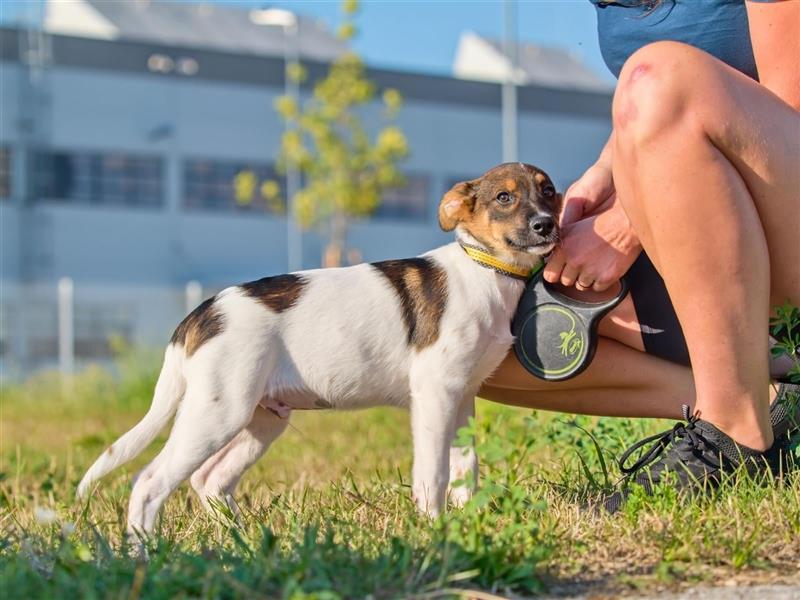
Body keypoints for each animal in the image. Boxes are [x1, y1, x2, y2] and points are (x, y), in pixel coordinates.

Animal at [78, 161, 560, 536]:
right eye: (504, 197)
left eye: (548, 191)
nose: (546, 225)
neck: (487, 270)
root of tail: (198, 316)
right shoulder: (435, 393)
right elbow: (434, 471)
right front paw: (433, 528)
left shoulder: (462, 396)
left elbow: (466, 467)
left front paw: (463, 524)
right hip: (218, 412)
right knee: (149, 481)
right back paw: (143, 552)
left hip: (261, 418)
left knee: (209, 478)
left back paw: (242, 539)